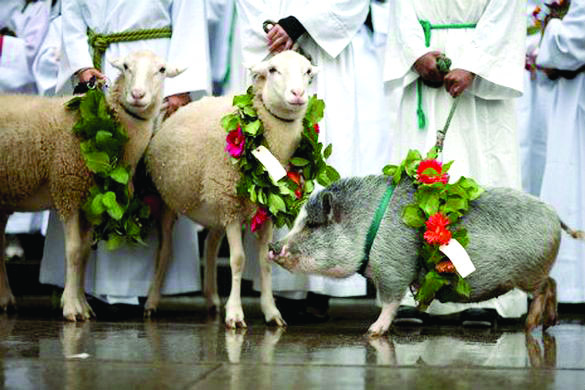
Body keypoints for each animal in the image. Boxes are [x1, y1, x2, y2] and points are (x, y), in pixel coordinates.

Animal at [0, 50, 181, 322]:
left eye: (161, 70)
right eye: (125, 66)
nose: (137, 95)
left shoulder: (91, 201)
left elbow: (85, 252)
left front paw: (83, 305)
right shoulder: (68, 190)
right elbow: (74, 250)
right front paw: (71, 308)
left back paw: (5, 300)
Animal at [145, 49, 318, 330]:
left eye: (308, 72)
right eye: (273, 70)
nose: (298, 94)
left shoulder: (265, 211)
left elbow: (264, 260)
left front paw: (271, 311)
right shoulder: (232, 206)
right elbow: (238, 260)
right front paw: (235, 314)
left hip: (215, 206)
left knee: (210, 246)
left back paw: (212, 299)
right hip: (172, 202)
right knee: (165, 251)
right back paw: (151, 302)